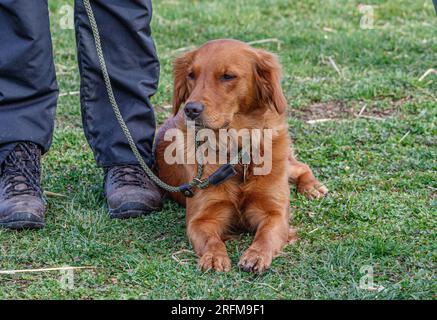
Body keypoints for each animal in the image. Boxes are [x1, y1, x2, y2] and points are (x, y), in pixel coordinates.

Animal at [155, 38, 326, 272]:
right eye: (191, 75)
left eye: (228, 76)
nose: (190, 109)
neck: (236, 149)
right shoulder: (201, 218)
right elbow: (211, 239)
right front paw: (214, 256)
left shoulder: (274, 212)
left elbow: (266, 235)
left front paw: (257, 254)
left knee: (300, 166)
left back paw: (312, 187)